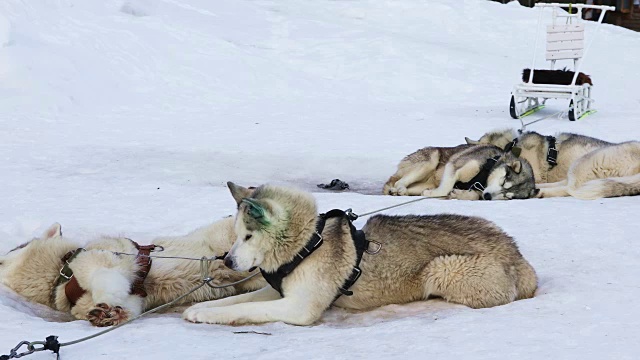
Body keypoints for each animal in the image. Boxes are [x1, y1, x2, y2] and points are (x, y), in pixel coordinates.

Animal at [0, 218, 264, 328]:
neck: (60, 273)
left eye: (4, 257)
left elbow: (103, 274)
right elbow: (131, 303)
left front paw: (108, 298)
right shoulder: (138, 296)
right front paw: (108, 314)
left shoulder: (104, 254)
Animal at [182, 183, 536, 326]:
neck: (308, 244)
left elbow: (246, 309)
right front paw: (201, 308)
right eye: (236, 234)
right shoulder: (279, 291)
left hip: (443, 268)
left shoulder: (298, 307)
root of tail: (517, 253)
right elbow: (235, 301)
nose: (227, 261)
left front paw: (206, 315)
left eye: (248, 236)